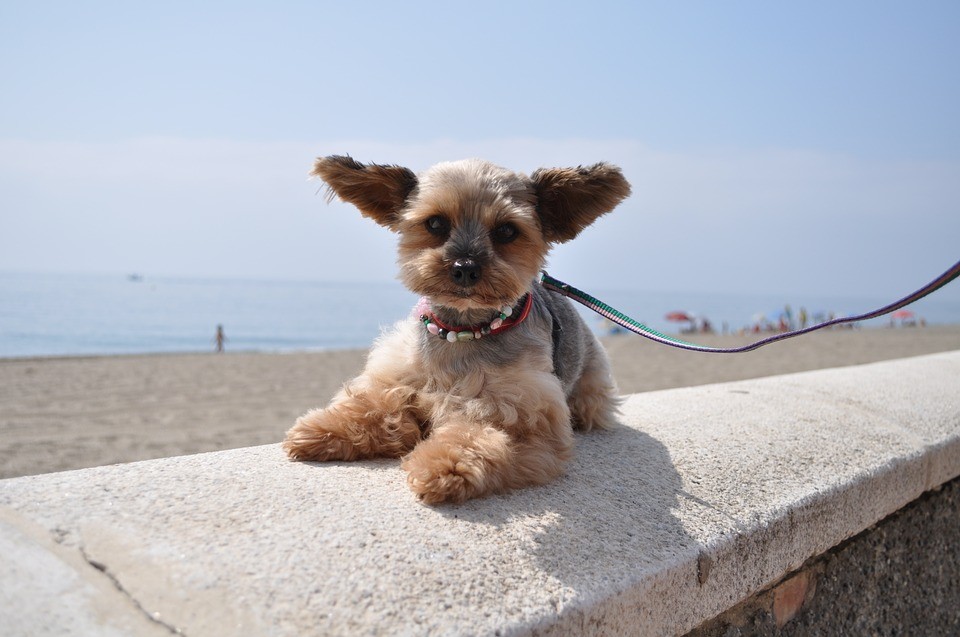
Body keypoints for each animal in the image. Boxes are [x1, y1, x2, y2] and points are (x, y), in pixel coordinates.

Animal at [282, 155, 632, 502]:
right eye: (435, 223)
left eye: (507, 230)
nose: (464, 268)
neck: (462, 328)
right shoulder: (399, 373)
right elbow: (376, 405)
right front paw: (325, 428)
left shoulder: (525, 409)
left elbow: (478, 433)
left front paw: (445, 464)